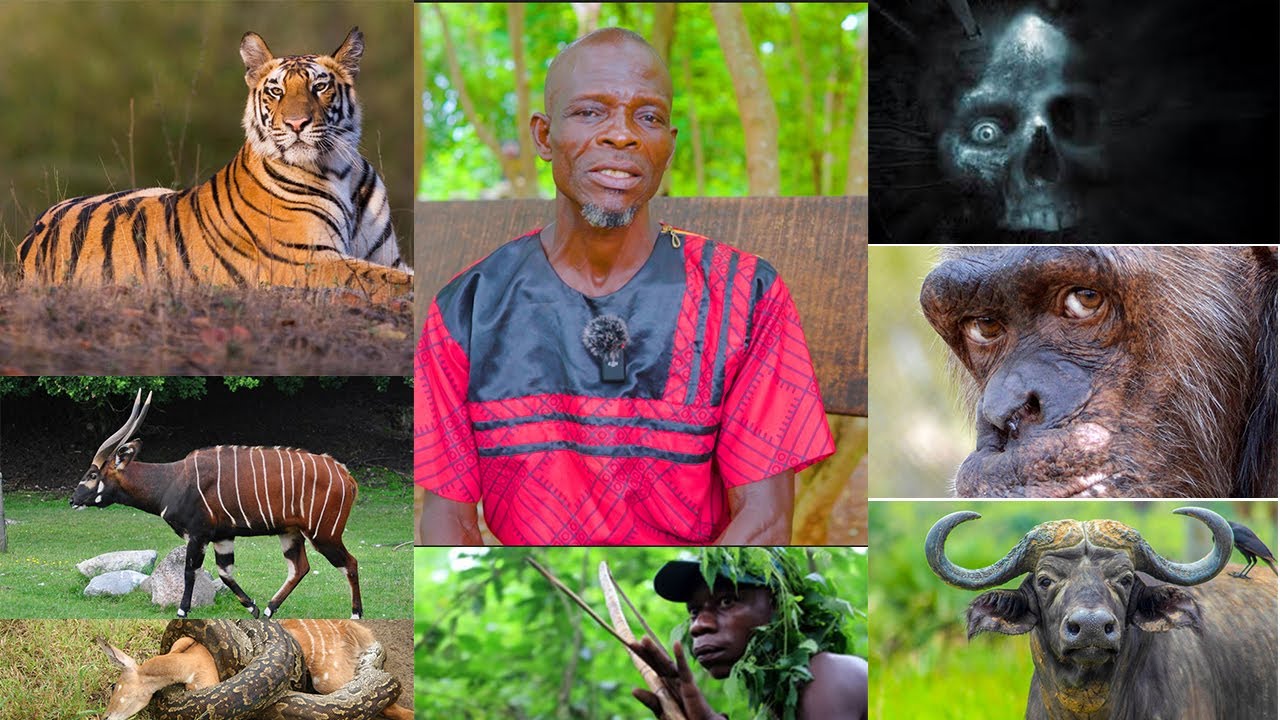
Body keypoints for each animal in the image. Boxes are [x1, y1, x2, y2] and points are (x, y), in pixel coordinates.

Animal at [16, 27, 412, 300]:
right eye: (276, 91)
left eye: (319, 87)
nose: (296, 124)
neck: (338, 169)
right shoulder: (307, 260)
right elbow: (389, 280)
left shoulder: (384, 255)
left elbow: (398, 272)